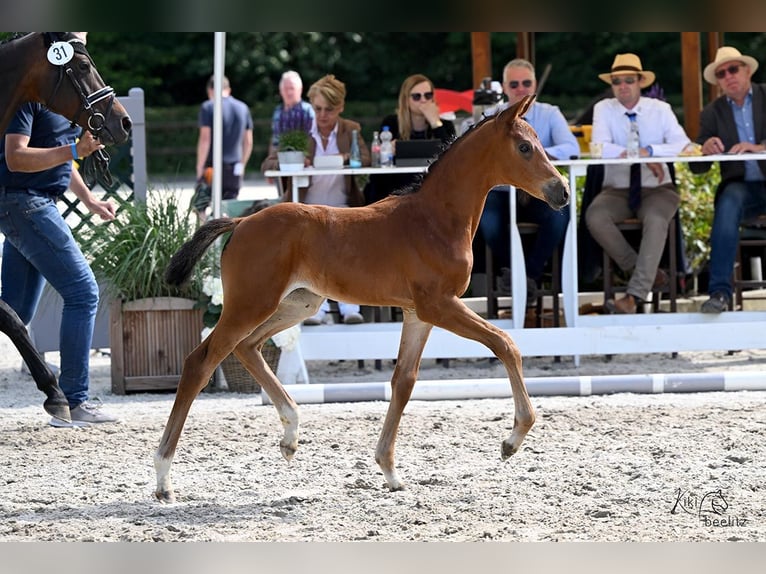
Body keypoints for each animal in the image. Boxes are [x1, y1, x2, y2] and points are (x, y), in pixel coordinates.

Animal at [156, 95, 568, 504]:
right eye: (525, 147)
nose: (562, 192)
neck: (435, 219)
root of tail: (241, 222)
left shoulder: (418, 313)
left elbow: (404, 381)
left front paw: (389, 471)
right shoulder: (440, 304)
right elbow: (505, 343)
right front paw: (513, 439)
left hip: (297, 304)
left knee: (247, 347)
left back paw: (290, 435)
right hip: (250, 304)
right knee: (200, 362)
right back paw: (163, 478)